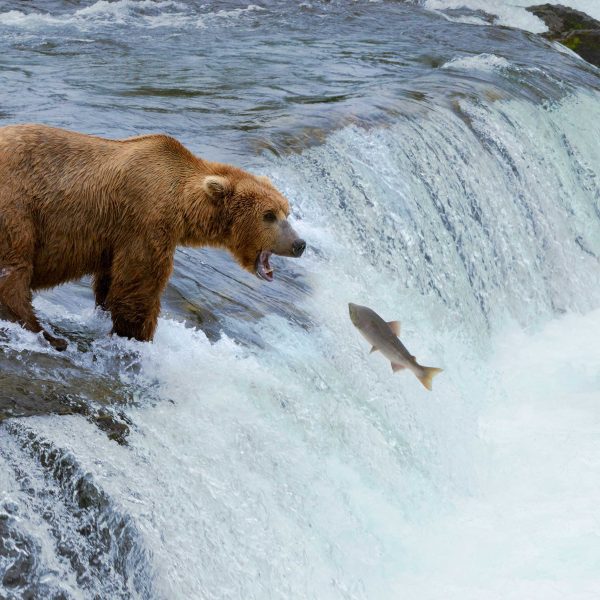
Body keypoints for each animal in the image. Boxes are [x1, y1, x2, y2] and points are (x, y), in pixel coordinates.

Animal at [0, 125, 304, 352]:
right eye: (269, 215)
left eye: (286, 211)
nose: (299, 244)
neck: (182, 203)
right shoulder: (145, 220)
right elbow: (139, 284)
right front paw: (138, 335)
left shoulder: (116, 237)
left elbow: (110, 281)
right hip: (18, 206)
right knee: (14, 268)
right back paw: (47, 335)